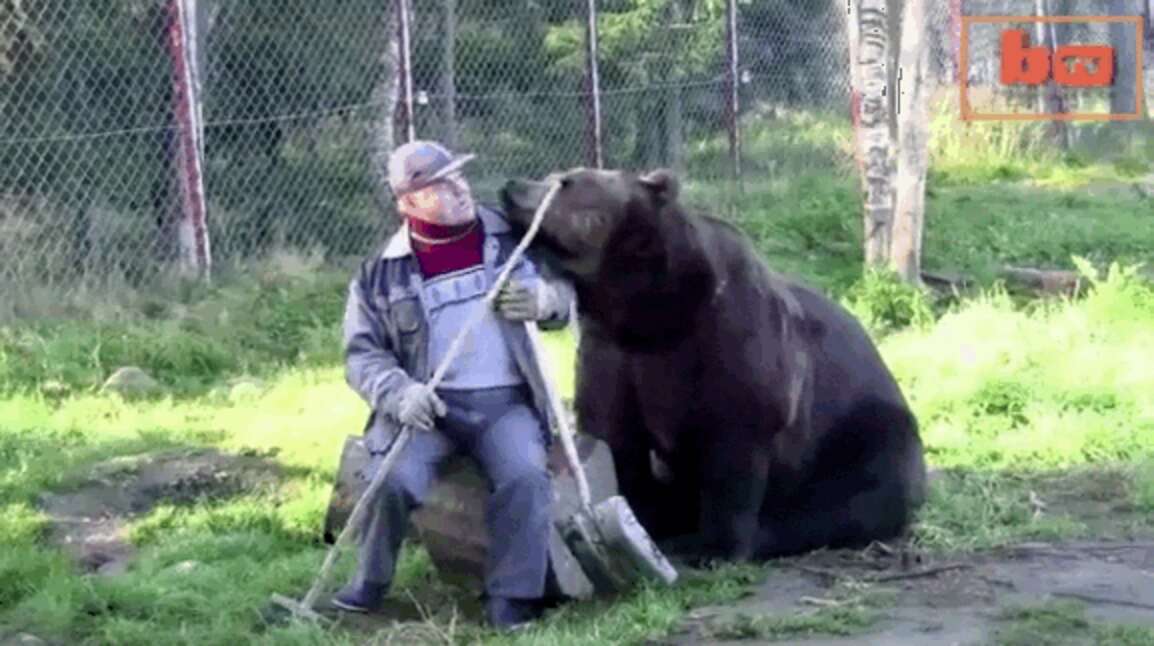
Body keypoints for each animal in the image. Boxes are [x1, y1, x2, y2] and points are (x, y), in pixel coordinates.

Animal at [496, 167, 927, 565]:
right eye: (552, 176)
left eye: (566, 182)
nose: (511, 188)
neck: (649, 312)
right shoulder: (613, 353)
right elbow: (615, 436)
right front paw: (640, 518)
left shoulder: (733, 343)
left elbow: (733, 449)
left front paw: (715, 549)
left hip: (864, 431)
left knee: (861, 496)